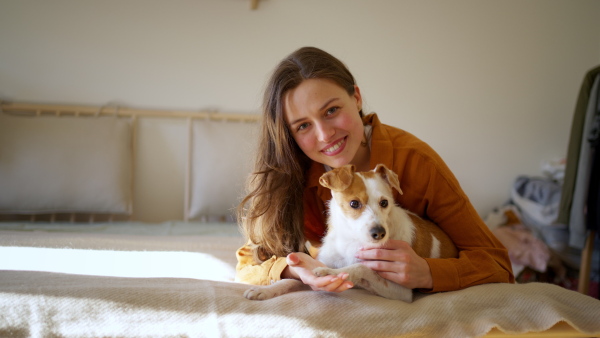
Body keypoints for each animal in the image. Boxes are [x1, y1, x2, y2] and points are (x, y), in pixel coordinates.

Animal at [243, 164, 454, 302]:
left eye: (384, 202)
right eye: (354, 203)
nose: (379, 233)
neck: (352, 240)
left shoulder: (400, 290)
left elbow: (361, 268)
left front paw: (332, 272)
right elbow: (291, 280)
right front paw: (264, 290)